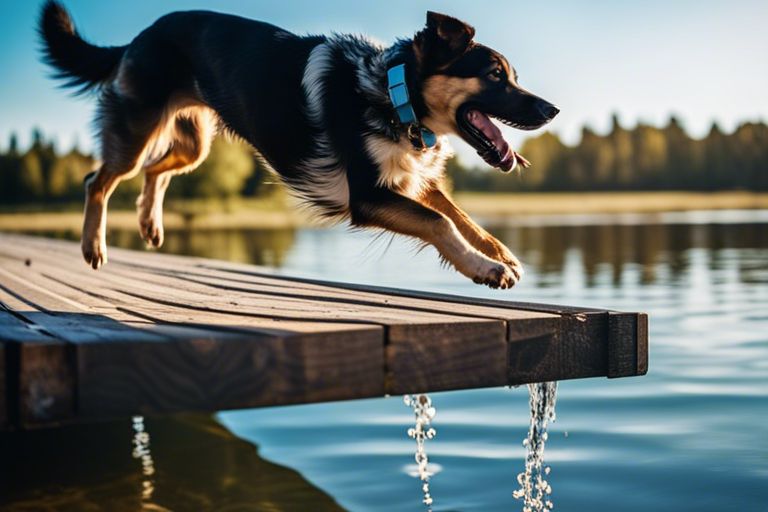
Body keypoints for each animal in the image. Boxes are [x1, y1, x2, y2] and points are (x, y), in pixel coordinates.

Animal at [39, 2, 560, 288]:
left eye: (514, 76)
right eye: (494, 76)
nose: (552, 110)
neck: (392, 91)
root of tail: (139, 36)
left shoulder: (407, 180)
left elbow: (461, 216)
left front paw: (500, 253)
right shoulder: (369, 195)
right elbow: (440, 223)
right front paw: (485, 268)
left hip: (195, 142)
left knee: (154, 171)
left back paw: (150, 223)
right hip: (137, 130)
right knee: (98, 179)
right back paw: (93, 246)